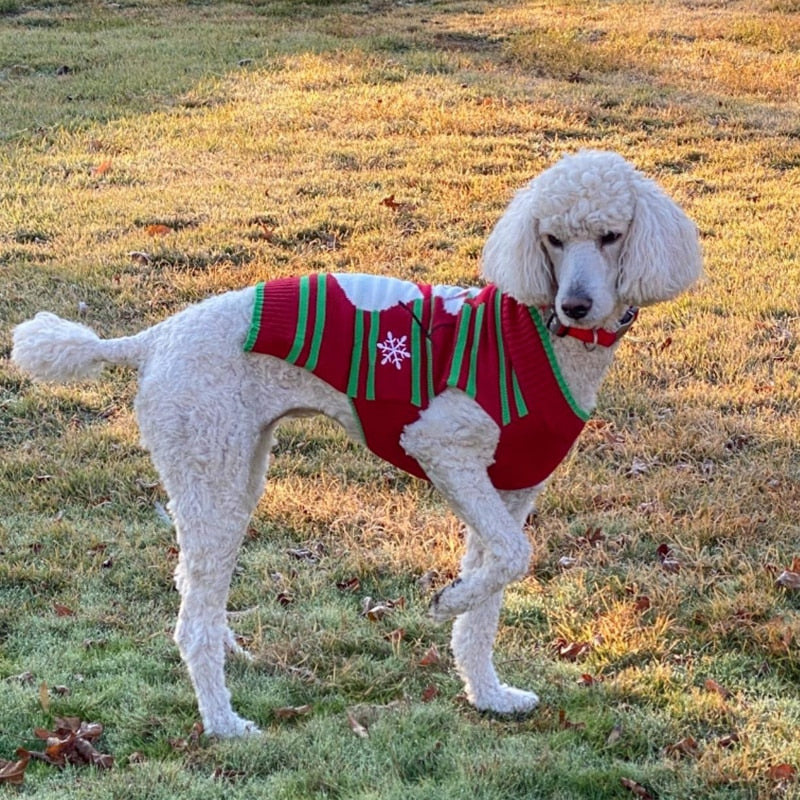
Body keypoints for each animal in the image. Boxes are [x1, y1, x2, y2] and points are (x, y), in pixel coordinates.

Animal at [10, 150, 700, 736]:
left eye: (610, 236)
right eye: (552, 239)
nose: (575, 305)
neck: (544, 337)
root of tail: (154, 338)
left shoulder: (508, 489)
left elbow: (490, 599)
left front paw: (488, 694)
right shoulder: (444, 448)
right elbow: (513, 557)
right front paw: (447, 601)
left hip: (234, 470)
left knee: (195, 587)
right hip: (213, 473)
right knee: (191, 622)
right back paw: (224, 723)